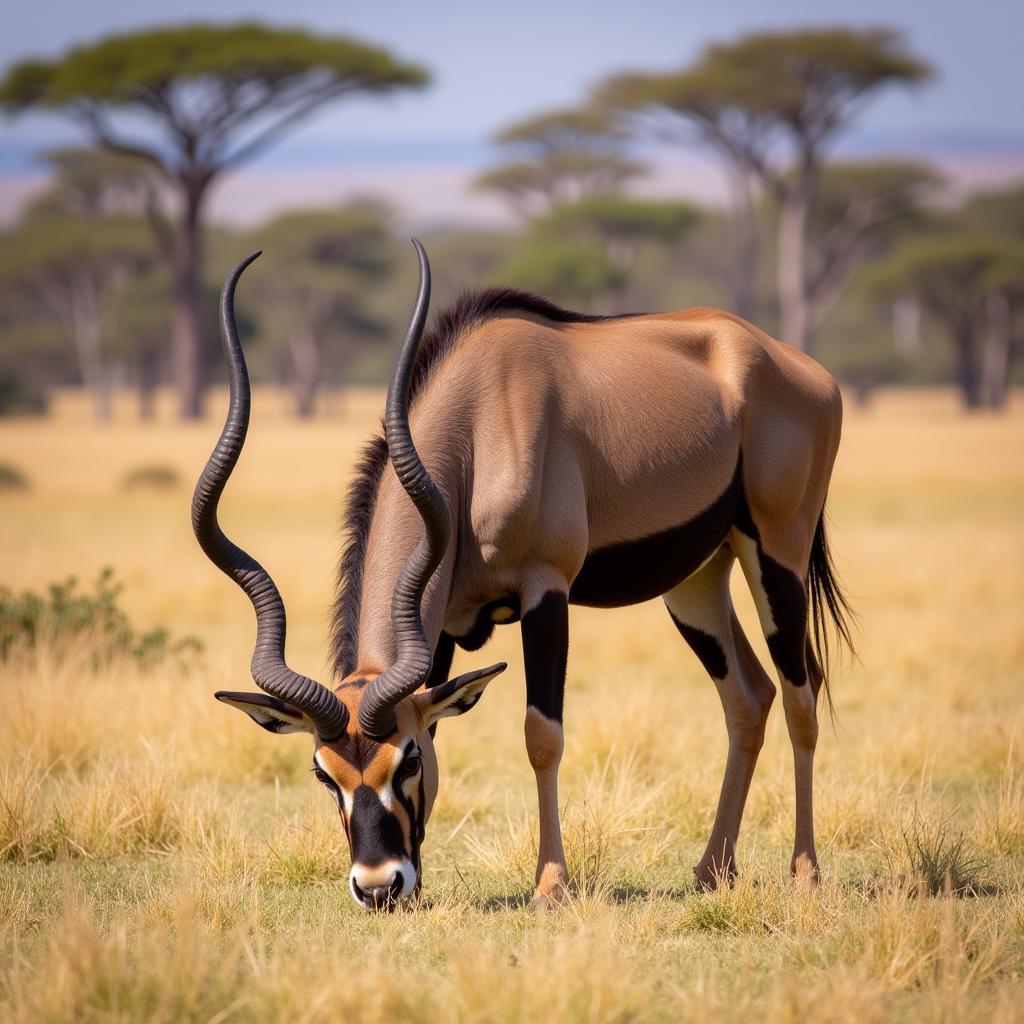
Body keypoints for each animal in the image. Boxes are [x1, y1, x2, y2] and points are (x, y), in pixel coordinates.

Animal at [192, 241, 847, 913]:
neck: (478, 431)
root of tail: (800, 370)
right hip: (697, 580)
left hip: (777, 554)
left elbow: (542, 734)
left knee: (801, 695)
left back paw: (804, 872)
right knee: (748, 696)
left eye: (406, 761)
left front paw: (551, 884)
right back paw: (713, 870)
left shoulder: (545, 589)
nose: (378, 886)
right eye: (324, 772)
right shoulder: (442, 627)